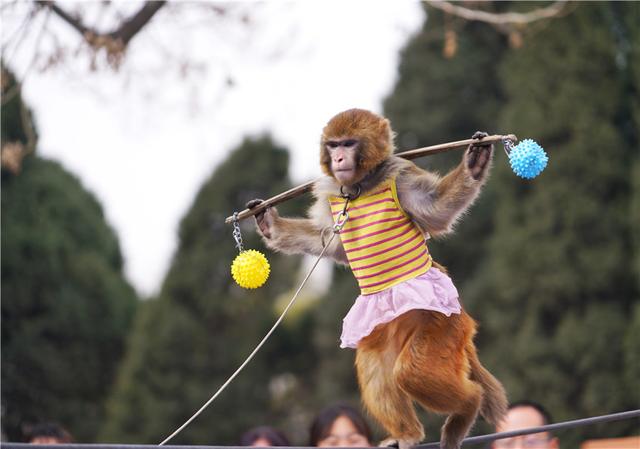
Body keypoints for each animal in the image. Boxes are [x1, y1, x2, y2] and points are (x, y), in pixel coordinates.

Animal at [248, 108, 508, 448]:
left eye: (348, 143)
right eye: (333, 145)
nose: (338, 158)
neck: (360, 186)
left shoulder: (402, 176)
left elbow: (436, 210)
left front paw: (475, 165)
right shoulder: (333, 194)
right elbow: (333, 244)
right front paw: (270, 225)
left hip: (443, 323)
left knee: (412, 372)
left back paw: (468, 405)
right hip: (386, 329)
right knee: (377, 369)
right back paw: (407, 433)